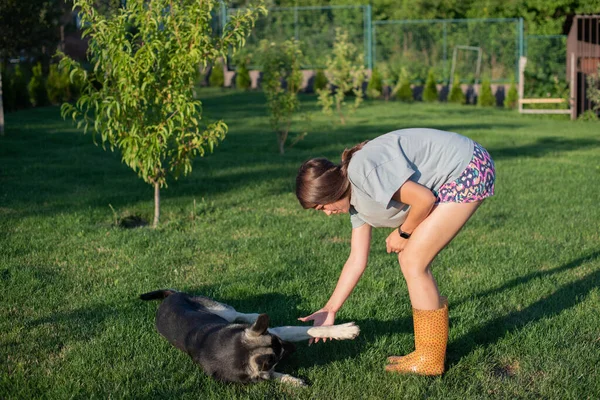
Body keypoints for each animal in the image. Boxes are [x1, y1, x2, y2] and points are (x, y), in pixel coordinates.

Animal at [139, 290, 360, 386]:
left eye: (281, 348)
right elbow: (269, 375)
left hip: (224, 311)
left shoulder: (275, 332)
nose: (294, 349)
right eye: (280, 356)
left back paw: (253, 317)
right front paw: (291, 381)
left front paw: (343, 330)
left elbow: (309, 330)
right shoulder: (254, 372)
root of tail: (170, 297)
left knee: (239, 313)